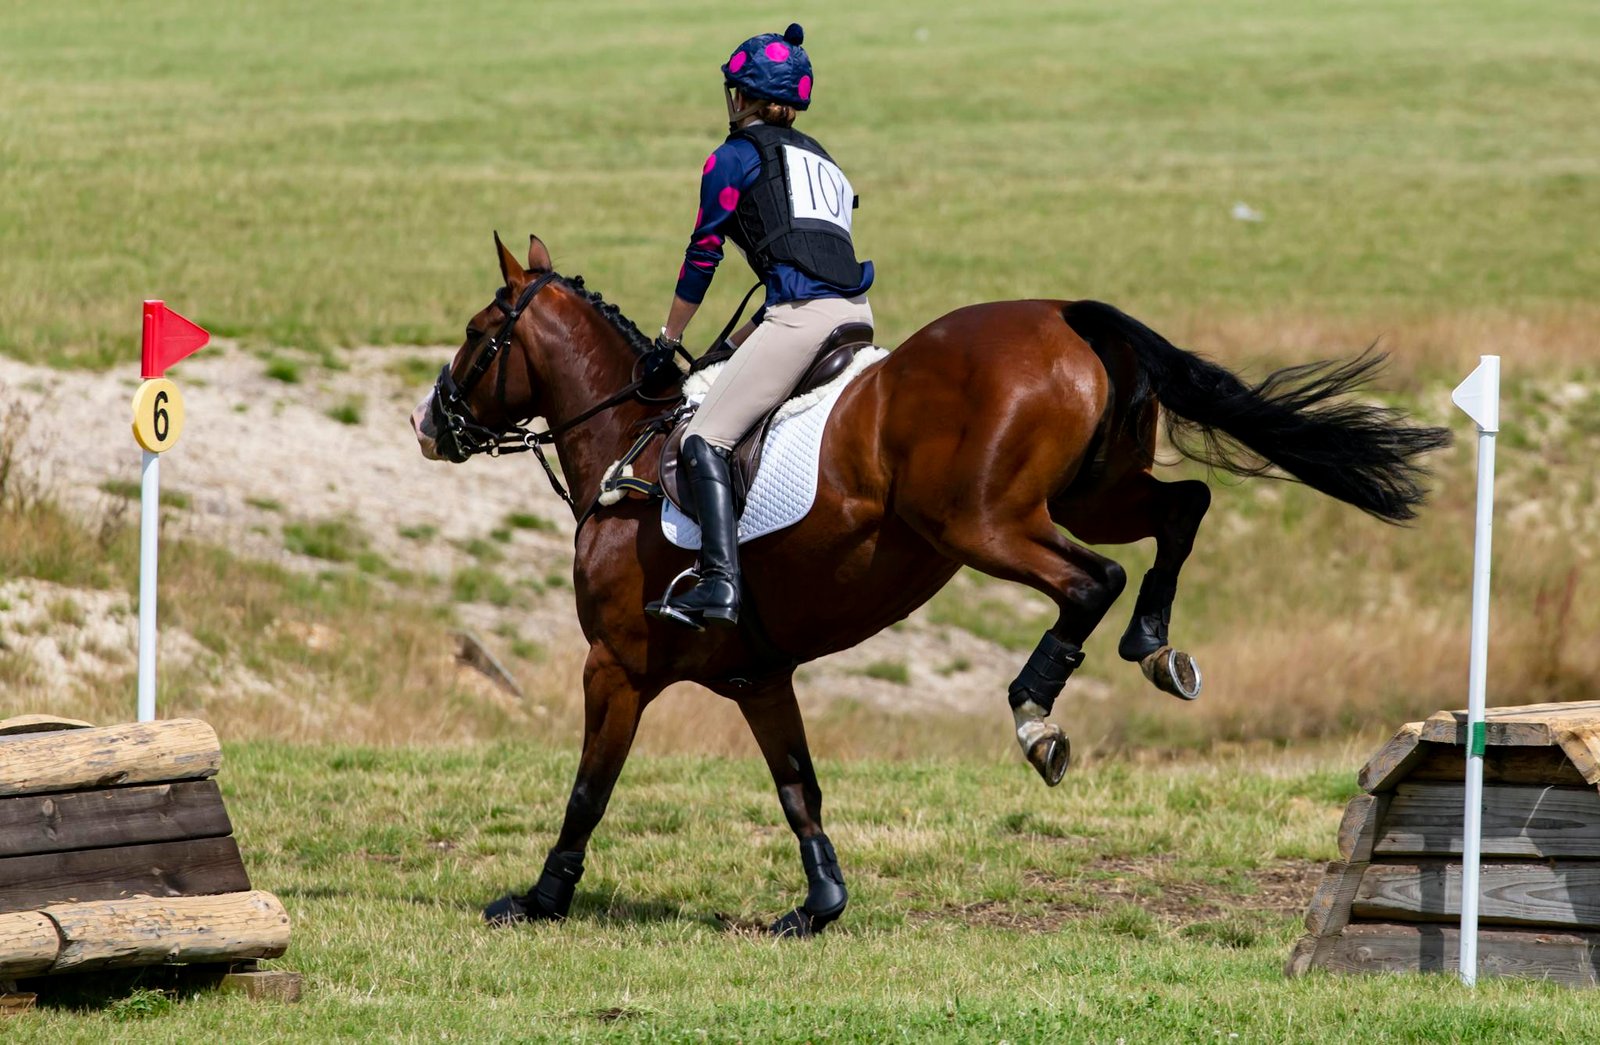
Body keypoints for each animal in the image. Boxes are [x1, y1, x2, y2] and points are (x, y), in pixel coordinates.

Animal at [409, 232, 1452, 934]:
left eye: (475, 332)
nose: (429, 422)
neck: (628, 445)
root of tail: (1063, 313)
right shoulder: (759, 676)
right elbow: (799, 786)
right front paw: (820, 904)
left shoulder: (615, 665)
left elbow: (589, 788)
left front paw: (541, 897)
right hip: (1095, 489)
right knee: (1182, 510)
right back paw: (1156, 648)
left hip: (985, 524)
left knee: (1094, 578)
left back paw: (1038, 713)